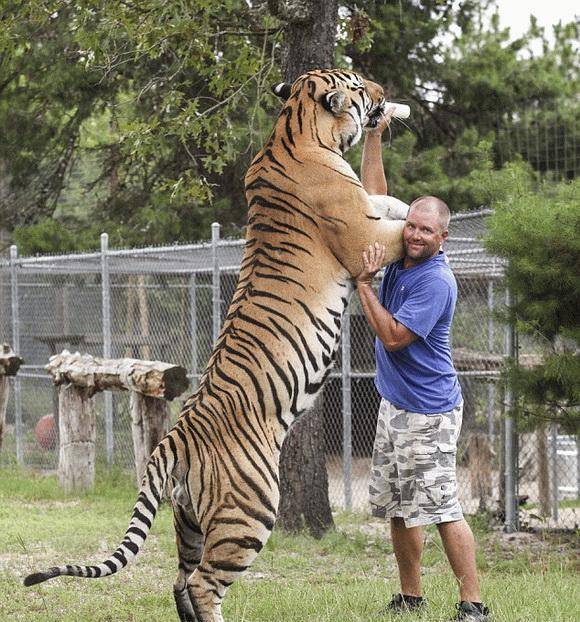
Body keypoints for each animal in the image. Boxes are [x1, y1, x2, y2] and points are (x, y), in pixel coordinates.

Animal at [24, 69, 410, 622]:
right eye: (359, 84)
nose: (383, 94)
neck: (294, 128)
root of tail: (174, 439)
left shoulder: (365, 208)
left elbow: (386, 202)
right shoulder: (361, 239)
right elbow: (400, 227)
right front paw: (432, 220)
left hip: (187, 520)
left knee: (179, 579)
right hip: (249, 512)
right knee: (203, 583)